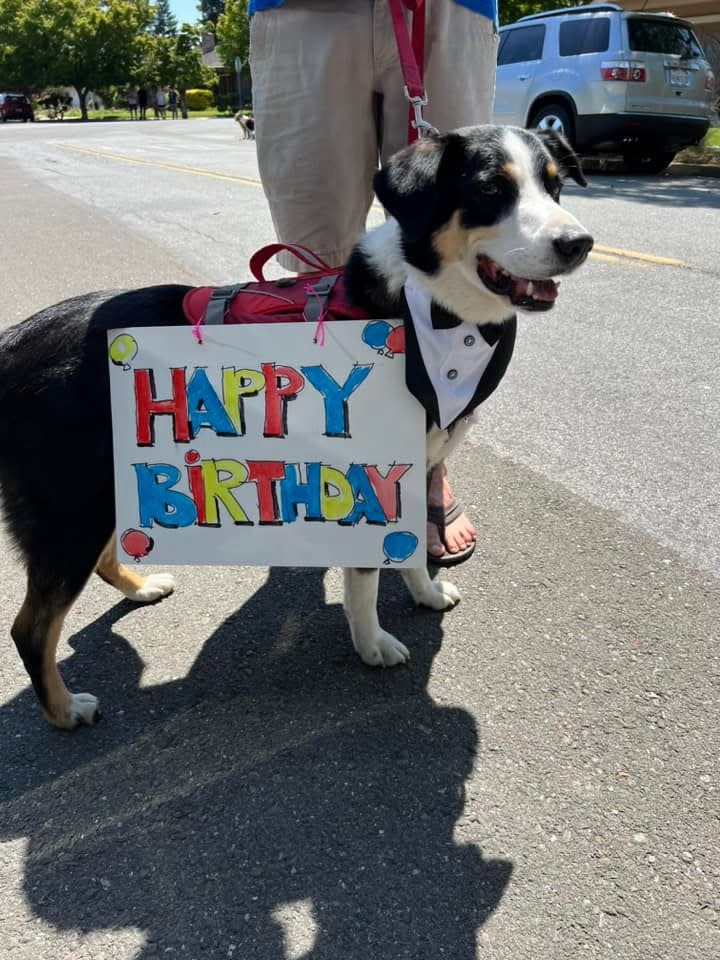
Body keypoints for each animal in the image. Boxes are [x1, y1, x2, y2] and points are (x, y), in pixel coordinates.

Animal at [0, 127, 592, 728]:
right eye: (491, 189)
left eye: (555, 187)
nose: (580, 243)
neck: (426, 308)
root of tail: (11, 343)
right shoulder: (368, 470)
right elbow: (365, 578)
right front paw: (372, 644)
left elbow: (408, 555)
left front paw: (423, 593)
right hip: (70, 505)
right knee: (30, 628)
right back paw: (64, 710)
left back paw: (140, 588)